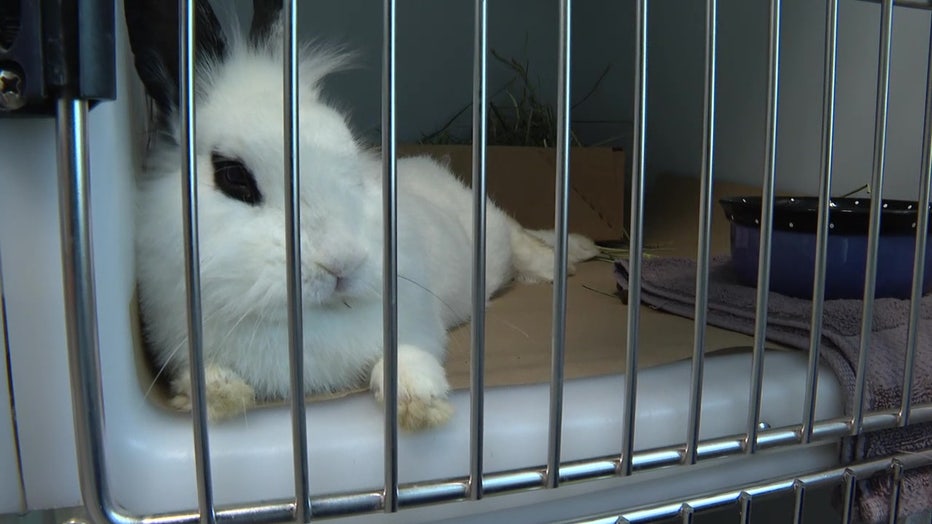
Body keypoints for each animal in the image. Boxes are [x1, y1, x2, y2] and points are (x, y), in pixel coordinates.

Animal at [129, 4, 596, 430]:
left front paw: (420, 404)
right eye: (233, 176)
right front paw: (219, 396)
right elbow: (201, 374)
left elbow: (405, 356)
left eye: (351, 150)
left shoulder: (414, 325)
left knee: (521, 239)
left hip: (492, 235)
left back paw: (569, 258)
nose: (343, 263)